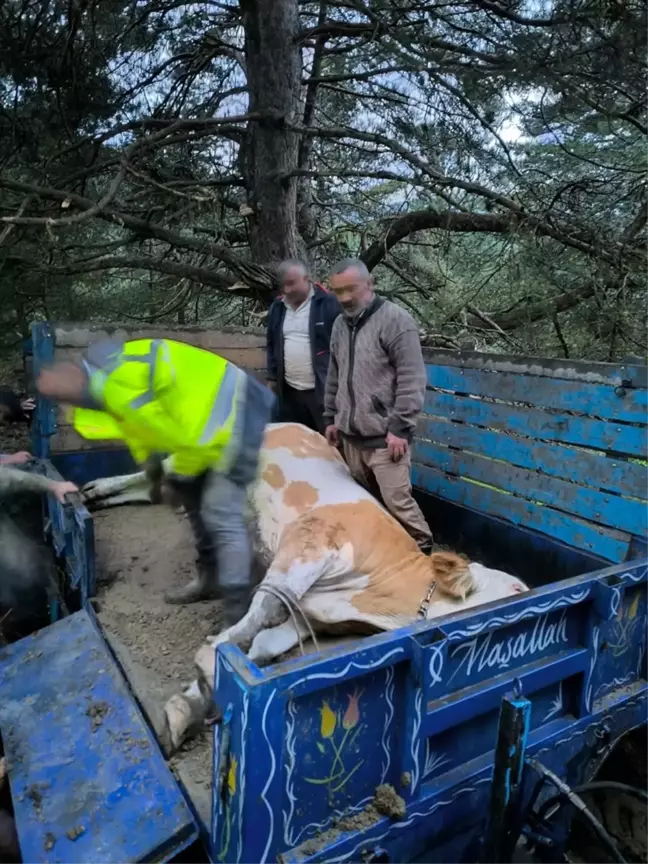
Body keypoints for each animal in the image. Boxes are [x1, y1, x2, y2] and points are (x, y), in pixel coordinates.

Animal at [82, 422, 528, 752]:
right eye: (516, 590)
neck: (379, 599)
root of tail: (291, 423)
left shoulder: (310, 618)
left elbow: (264, 644)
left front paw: (189, 703)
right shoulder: (307, 546)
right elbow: (254, 616)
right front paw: (205, 671)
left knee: (157, 486)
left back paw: (94, 496)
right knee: (159, 468)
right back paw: (95, 487)